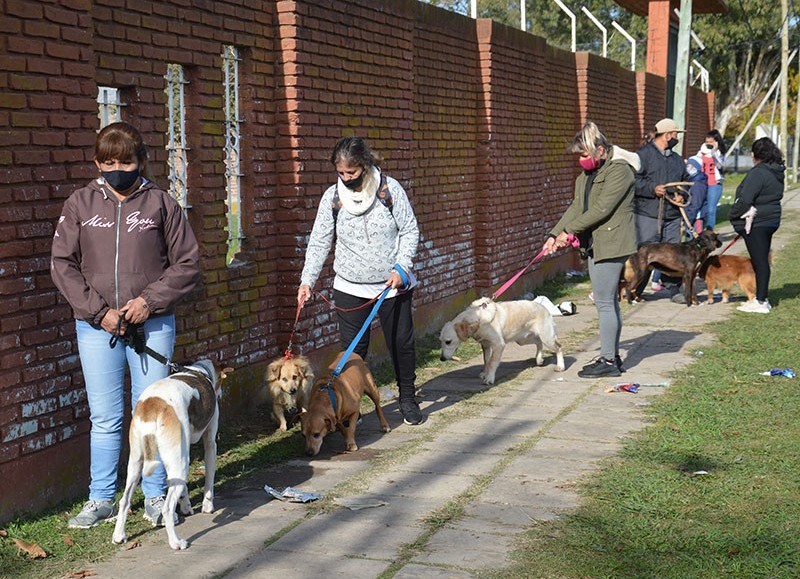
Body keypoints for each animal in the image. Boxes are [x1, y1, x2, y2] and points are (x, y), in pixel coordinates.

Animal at [110, 360, 228, 552]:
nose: (221, 394)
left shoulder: (181, 453)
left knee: (124, 500)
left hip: (138, 464)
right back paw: (176, 543)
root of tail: (152, 405)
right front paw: (207, 506)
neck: (199, 371)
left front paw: (186, 505)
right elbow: (209, 482)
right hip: (180, 463)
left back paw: (119, 536)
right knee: (167, 508)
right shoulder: (210, 444)